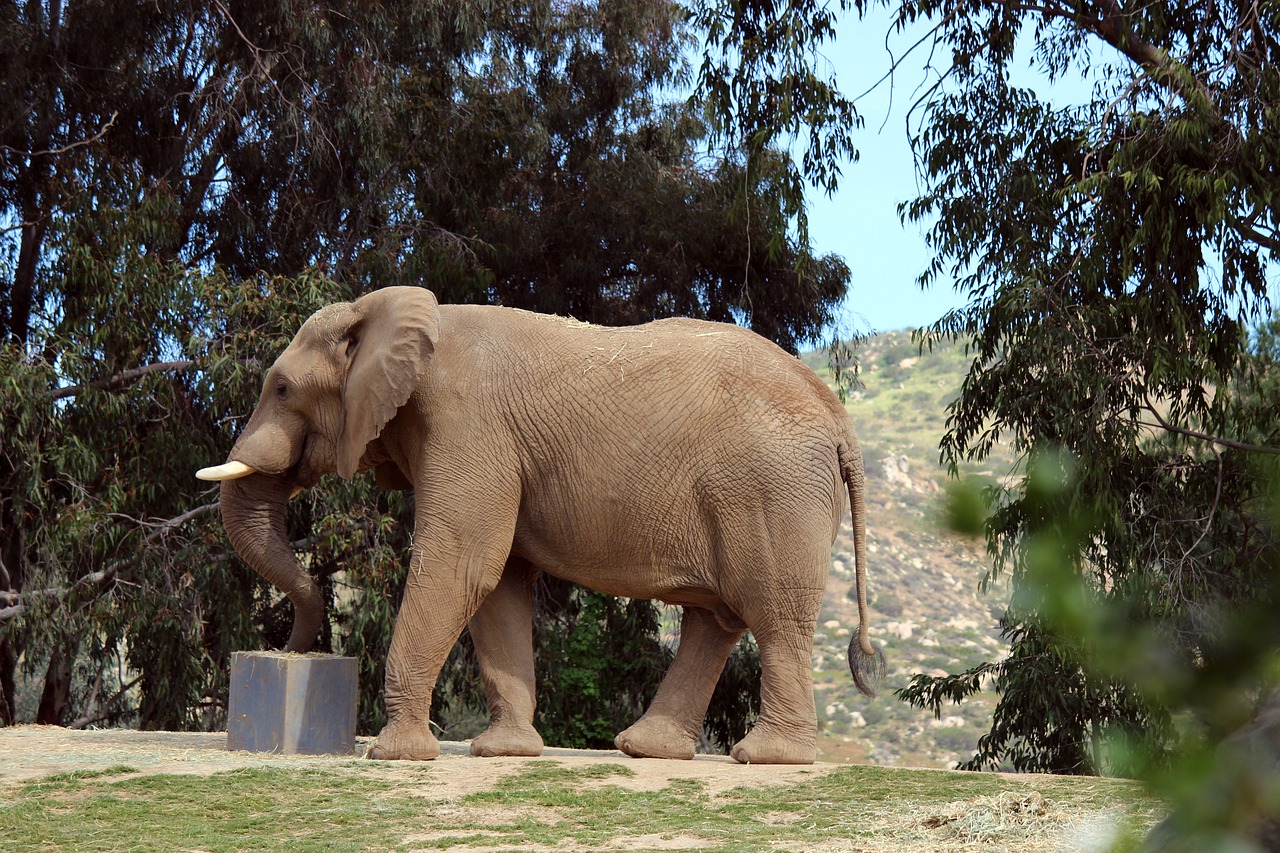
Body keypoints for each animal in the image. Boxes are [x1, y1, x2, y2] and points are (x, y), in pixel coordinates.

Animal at [197, 285, 880, 763]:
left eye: (282, 389)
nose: (287, 648)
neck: (397, 313)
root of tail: (836, 414)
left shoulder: (468, 424)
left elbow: (463, 563)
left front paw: (395, 756)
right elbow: (498, 583)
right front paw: (503, 753)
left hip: (772, 490)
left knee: (772, 614)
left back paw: (767, 758)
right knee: (715, 619)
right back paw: (647, 749)